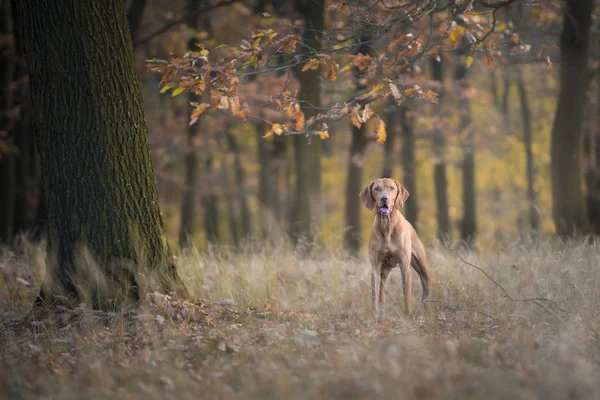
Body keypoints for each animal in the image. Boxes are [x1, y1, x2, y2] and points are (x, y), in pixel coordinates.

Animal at [360, 178, 432, 318]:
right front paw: (374, 315)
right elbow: (374, 294)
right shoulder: (375, 267)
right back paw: (381, 314)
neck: (387, 225)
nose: (384, 198)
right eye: (376, 189)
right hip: (384, 270)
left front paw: (408, 314)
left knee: (426, 289)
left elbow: (406, 294)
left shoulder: (405, 266)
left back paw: (425, 310)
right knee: (381, 292)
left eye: (391, 188)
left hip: (423, 267)